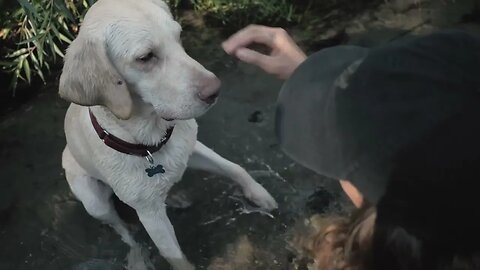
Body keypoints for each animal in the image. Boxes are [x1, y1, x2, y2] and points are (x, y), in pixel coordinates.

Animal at [59, 0, 278, 270]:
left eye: (179, 36)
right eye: (145, 57)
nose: (215, 91)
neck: (148, 142)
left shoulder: (190, 148)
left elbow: (235, 168)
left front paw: (259, 194)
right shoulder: (150, 215)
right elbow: (173, 255)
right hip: (94, 201)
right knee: (123, 230)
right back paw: (137, 256)